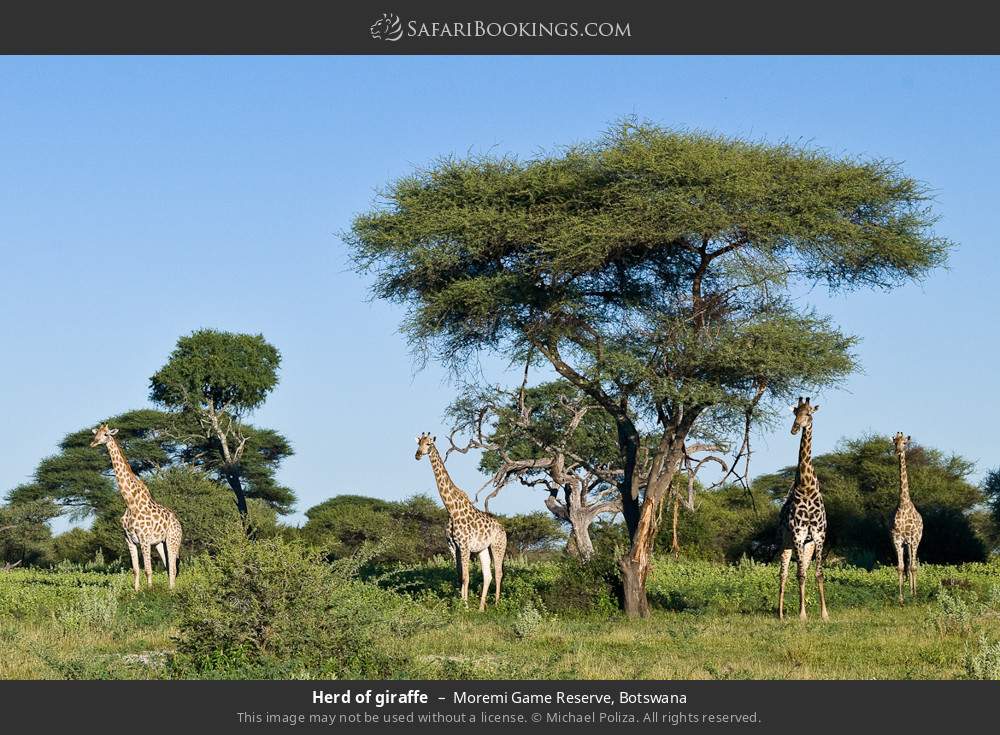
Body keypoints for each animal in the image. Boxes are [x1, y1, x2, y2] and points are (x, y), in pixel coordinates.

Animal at [90, 424, 183, 591]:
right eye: (96, 433)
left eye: (106, 434)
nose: (93, 443)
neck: (130, 502)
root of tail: (179, 524)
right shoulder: (129, 540)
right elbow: (135, 570)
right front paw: (136, 591)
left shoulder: (144, 539)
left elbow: (148, 569)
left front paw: (149, 591)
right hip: (160, 543)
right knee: (168, 567)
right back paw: (169, 589)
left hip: (173, 540)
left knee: (172, 566)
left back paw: (171, 591)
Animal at [415, 432, 506, 611]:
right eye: (419, 443)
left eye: (429, 444)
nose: (418, 455)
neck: (451, 509)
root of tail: (503, 529)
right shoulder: (453, 546)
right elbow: (459, 576)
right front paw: (458, 604)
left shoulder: (464, 545)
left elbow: (466, 577)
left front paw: (464, 606)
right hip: (482, 549)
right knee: (488, 575)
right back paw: (481, 608)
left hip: (498, 546)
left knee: (498, 573)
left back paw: (497, 605)